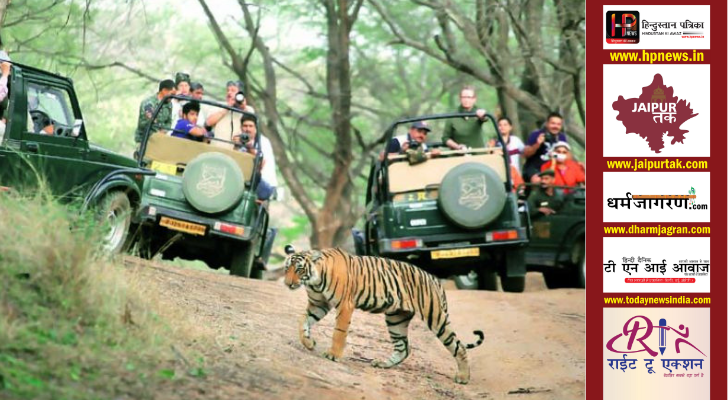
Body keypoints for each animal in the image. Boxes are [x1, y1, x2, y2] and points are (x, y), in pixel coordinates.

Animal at [282, 244, 484, 384]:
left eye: (299, 269)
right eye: (286, 268)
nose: (287, 284)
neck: (314, 281)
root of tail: (435, 279)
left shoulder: (345, 305)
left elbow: (338, 332)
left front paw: (333, 355)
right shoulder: (318, 304)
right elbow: (303, 321)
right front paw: (308, 343)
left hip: (435, 318)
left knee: (459, 346)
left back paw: (463, 377)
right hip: (396, 319)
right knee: (404, 348)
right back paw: (383, 364)